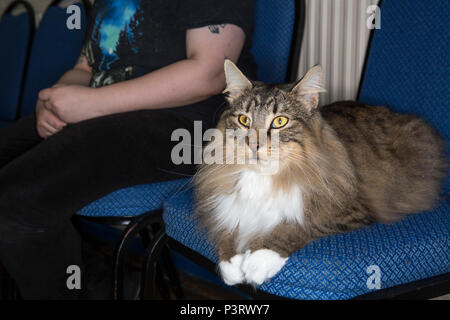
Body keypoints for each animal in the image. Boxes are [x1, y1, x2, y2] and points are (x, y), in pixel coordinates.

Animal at [192, 59, 446, 284]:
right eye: (244, 120)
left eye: (280, 121)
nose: (254, 145)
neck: (265, 178)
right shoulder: (225, 207)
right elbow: (228, 229)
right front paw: (231, 264)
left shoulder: (349, 210)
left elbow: (297, 226)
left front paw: (258, 259)